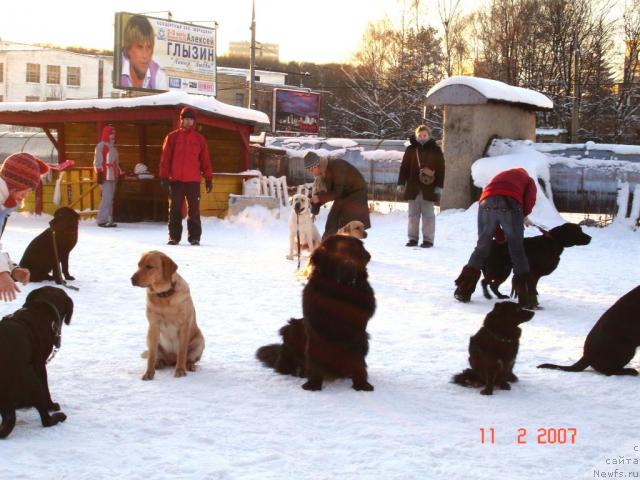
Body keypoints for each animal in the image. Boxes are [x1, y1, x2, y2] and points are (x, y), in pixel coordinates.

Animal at [0, 284, 74, 438]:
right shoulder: (39, 364)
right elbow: (47, 389)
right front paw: (52, 405)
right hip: (34, 383)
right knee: (46, 420)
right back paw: (58, 417)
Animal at [255, 234, 376, 392]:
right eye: (337, 254)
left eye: (355, 253)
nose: (349, 267)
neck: (340, 296)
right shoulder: (316, 331)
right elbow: (315, 355)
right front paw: (313, 384)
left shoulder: (358, 334)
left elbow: (358, 361)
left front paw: (362, 384)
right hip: (291, 328)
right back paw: (299, 372)